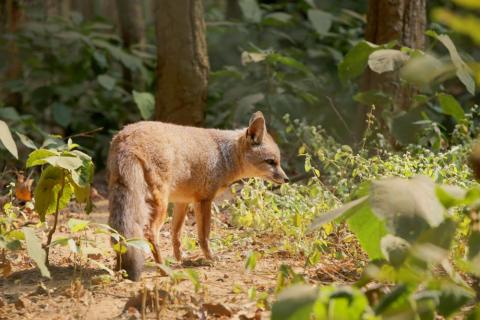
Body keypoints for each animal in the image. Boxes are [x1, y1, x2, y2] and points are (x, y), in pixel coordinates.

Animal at [108, 112, 288, 280]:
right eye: (271, 162)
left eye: (278, 161)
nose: (286, 179)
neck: (223, 156)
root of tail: (128, 140)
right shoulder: (204, 200)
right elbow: (204, 236)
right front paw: (210, 258)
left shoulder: (182, 202)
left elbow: (176, 235)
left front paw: (181, 259)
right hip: (160, 205)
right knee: (149, 233)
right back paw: (162, 269)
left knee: (119, 233)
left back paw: (120, 269)